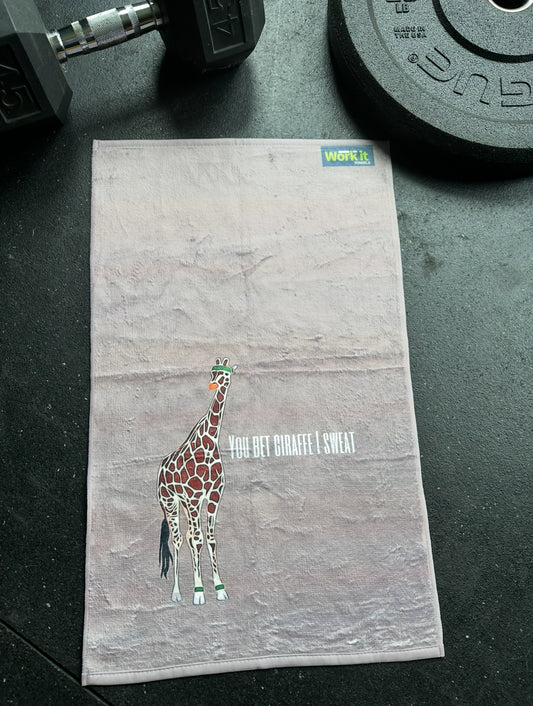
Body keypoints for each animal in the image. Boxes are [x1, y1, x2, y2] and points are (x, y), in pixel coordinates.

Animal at [157, 357, 236, 605]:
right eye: (212, 373)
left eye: (225, 375)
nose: (212, 386)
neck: (209, 444)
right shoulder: (194, 497)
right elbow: (198, 540)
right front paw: (198, 592)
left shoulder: (213, 496)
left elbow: (210, 539)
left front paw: (219, 588)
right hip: (170, 503)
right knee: (178, 539)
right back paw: (176, 593)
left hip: (184, 504)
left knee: (189, 535)